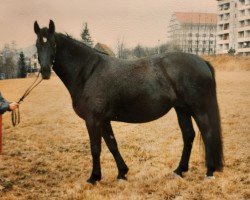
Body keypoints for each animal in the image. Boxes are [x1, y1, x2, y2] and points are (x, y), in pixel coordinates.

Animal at [33, 20, 223, 184]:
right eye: (37, 45)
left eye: (53, 44)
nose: (45, 71)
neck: (88, 72)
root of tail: (202, 61)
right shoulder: (103, 120)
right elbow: (112, 144)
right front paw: (122, 173)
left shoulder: (93, 120)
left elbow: (95, 148)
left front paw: (94, 178)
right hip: (182, 109)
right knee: (188, 135)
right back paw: (179, 170)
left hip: (199, 109)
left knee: (207, 134)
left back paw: (209, 172)